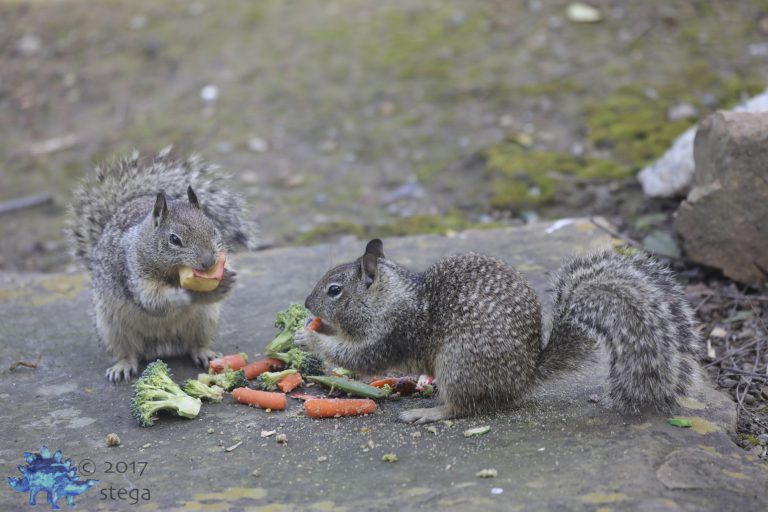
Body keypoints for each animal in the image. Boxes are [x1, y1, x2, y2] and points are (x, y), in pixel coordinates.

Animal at [68, 148, 256, 382]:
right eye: (174, 239)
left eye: (213, 229)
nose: (209, 263)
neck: (173, 272)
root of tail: (163, 346)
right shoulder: (134, 273)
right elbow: (152, 300)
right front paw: (181, 295)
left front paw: (226, 282)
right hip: (112, 328)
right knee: (128, 352)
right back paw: (122, 366)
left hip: (206, 321)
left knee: (194, 344)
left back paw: (206, 354)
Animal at [296, 238, 701, 424]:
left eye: (334, 290)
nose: (305, 303)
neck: (390, 296)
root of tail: (526, 376)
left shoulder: (392, 331)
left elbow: (360, 357)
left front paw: (309, 337)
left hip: (458, 364)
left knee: (463, 407)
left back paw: (428, 413)